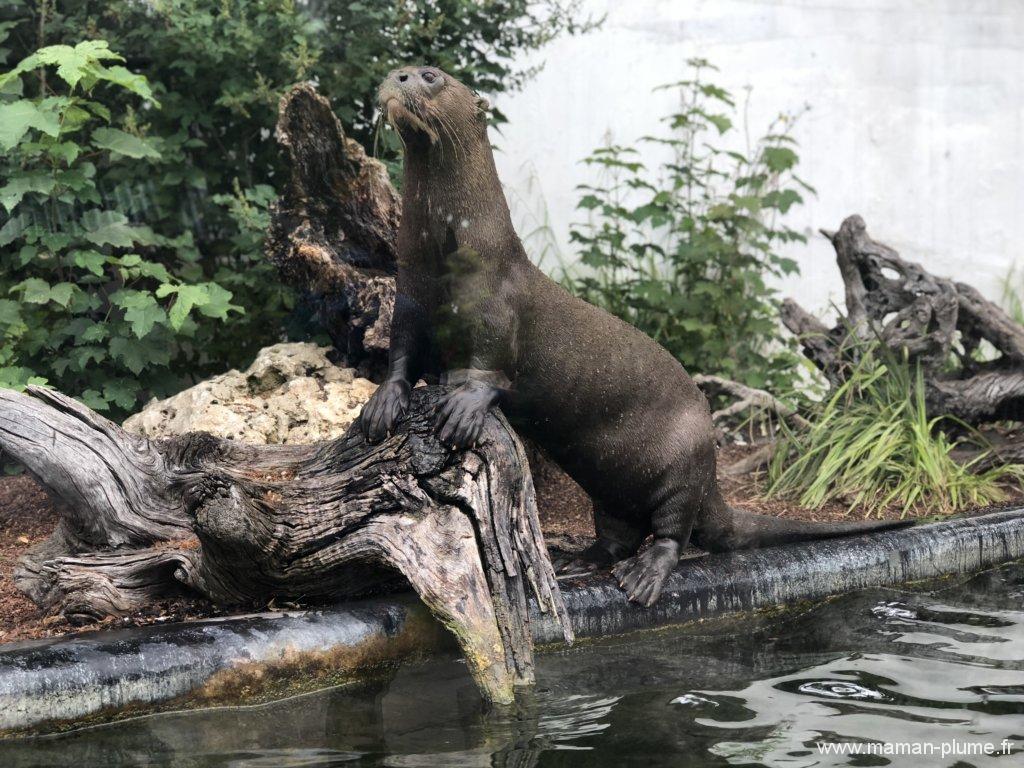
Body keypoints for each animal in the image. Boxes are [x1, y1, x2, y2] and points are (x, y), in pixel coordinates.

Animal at [358, 66, 905, 606]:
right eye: (406, 69)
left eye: (432, 76)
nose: (399, 75)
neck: (445, 257)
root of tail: (712, 478)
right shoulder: (410, 298)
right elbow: (402, 354)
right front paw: (382, 404)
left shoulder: (497, 308)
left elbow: (490, 367)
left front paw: (461, 408)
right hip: (610, 488)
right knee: (619, 533)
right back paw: (579, 560)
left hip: (683, 463)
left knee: (673, 530)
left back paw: (644, 576)